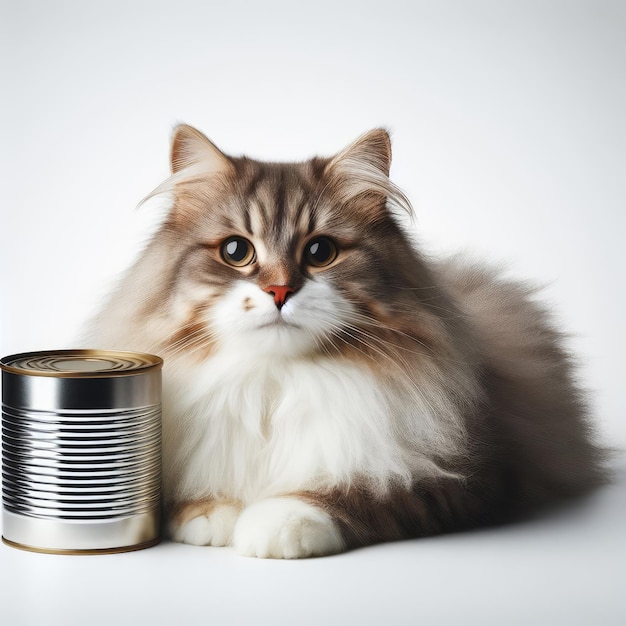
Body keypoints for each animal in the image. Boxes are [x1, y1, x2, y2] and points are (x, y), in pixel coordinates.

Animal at [85, 122, 604, 556]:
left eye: (320, 252)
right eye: (236, 251)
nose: (279, 291)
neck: (275, 382)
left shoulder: (466, 478)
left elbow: (360, 493)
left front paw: (274, 524)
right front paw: (210, 513)